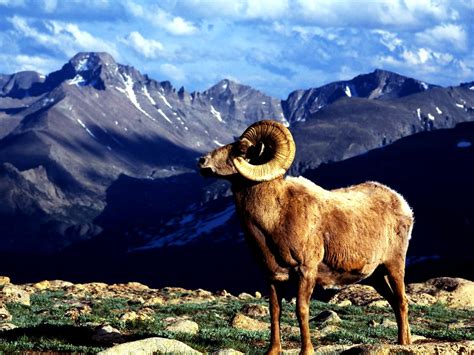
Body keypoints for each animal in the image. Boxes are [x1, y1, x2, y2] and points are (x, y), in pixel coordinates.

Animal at [198, 121, 412, 354]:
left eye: (241, 149)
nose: (202, 162)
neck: (275, 218)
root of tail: (402, 204)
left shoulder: (306, 271)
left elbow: (302, 310)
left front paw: (306, 350)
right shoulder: (272, 277)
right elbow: (275, 311)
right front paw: (273, 350)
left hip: (393, 265)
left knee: (401, 301)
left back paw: (403, 343)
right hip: (376, 276)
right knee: (394, 301)